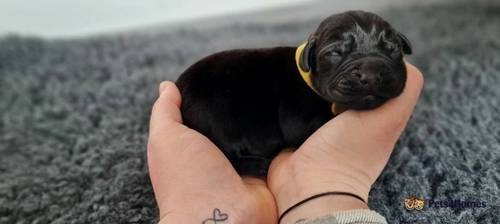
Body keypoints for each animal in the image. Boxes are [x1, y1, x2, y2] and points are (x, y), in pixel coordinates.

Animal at [175, 10, 410, 176]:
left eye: (393, 48)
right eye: (335, 53)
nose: (371, 73)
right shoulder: (298, 117)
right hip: (215, 119)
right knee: (230, 156)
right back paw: (260, 165)